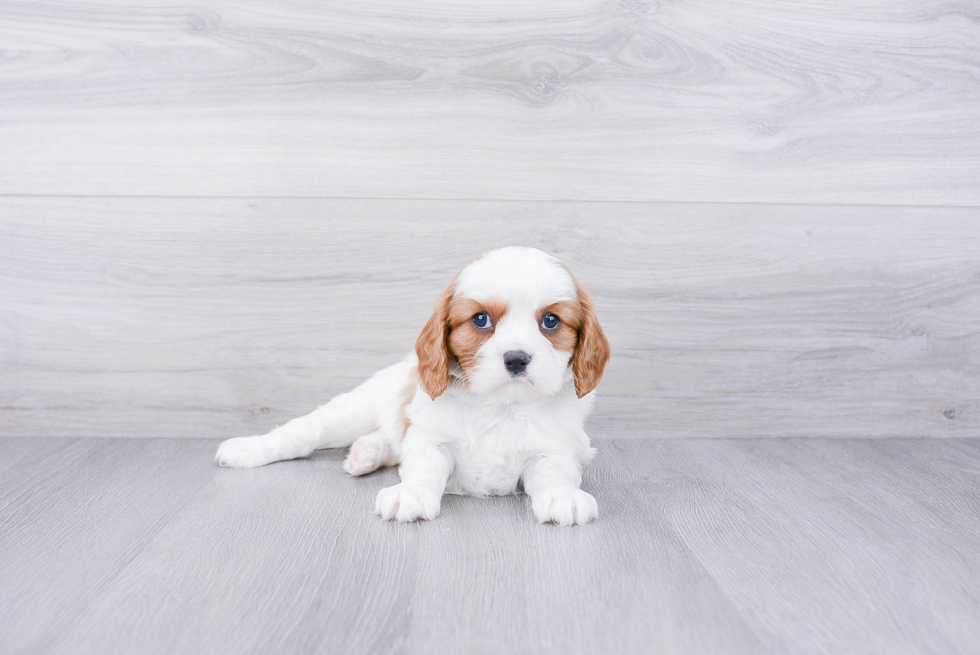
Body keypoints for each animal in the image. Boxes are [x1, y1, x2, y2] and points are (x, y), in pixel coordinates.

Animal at [218, 246, 608, 528]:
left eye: (551, 321)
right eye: (481, 319)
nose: (516, 358)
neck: (502, 404)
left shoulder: (556, 448)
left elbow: (553, 471)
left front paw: (562, 496)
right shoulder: (430, 437)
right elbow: (424, 466)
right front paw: (412, 494)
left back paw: (366, 453)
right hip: (356, 408)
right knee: (304, 432)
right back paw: (248, 448)